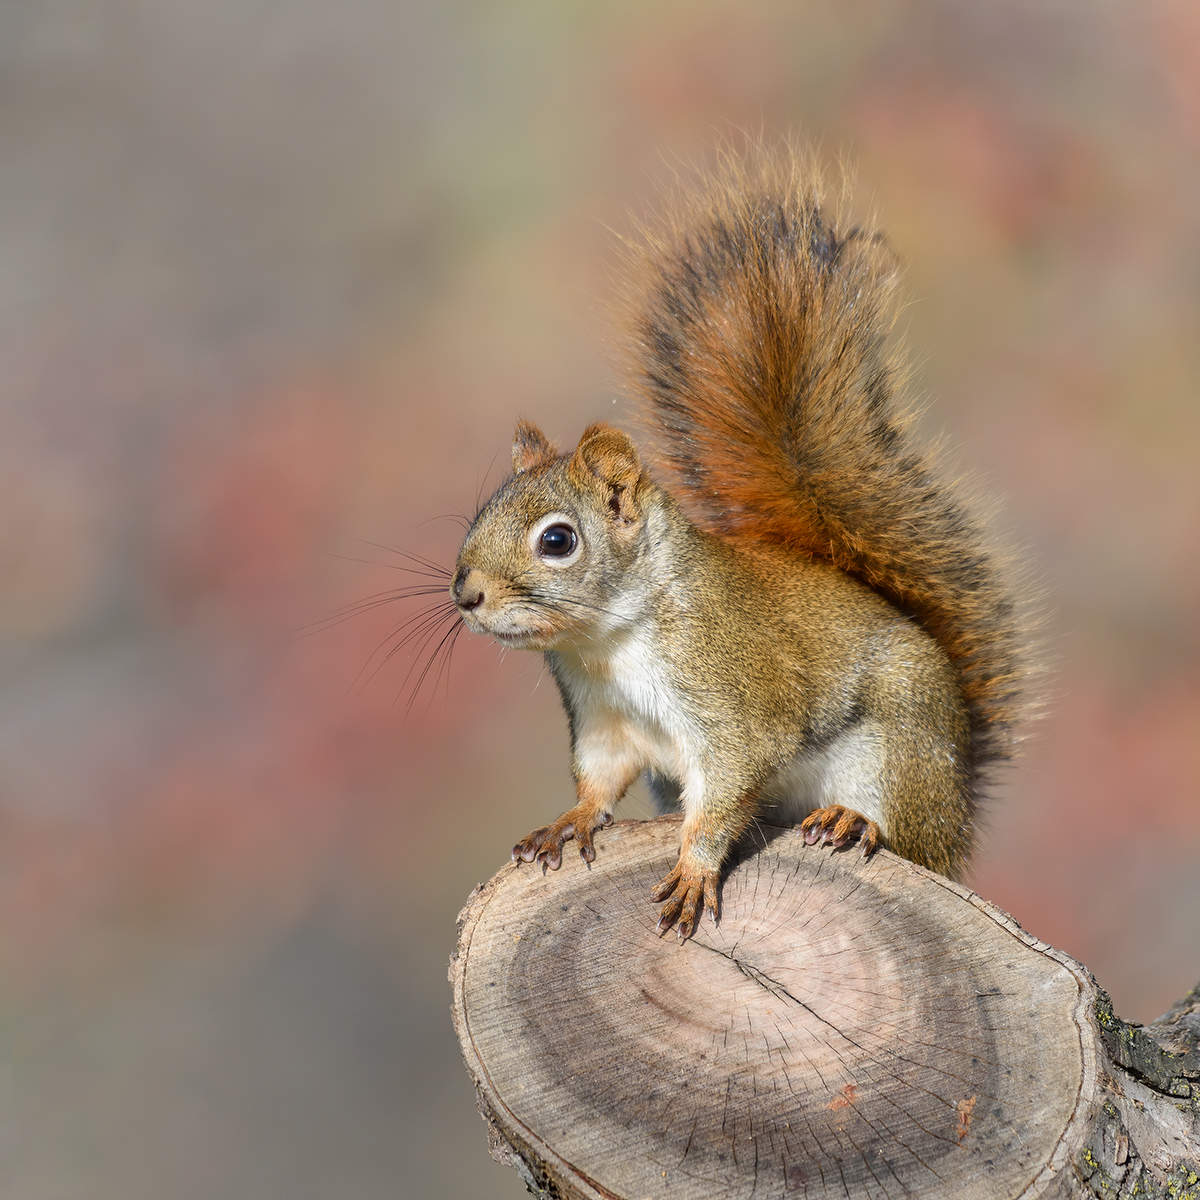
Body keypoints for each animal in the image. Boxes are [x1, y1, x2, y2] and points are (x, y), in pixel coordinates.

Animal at [450, 148, 1030, 940]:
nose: (466, 594)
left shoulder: (736, 703)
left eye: (558, 540)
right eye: (481, 513)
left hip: (903, 754)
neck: (610, 641)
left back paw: (856, 822)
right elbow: (599, 779)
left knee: (906, 834)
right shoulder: (603, 719)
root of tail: (961, 803)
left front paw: (694, 872)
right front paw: (568, 821)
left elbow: (724, 797)